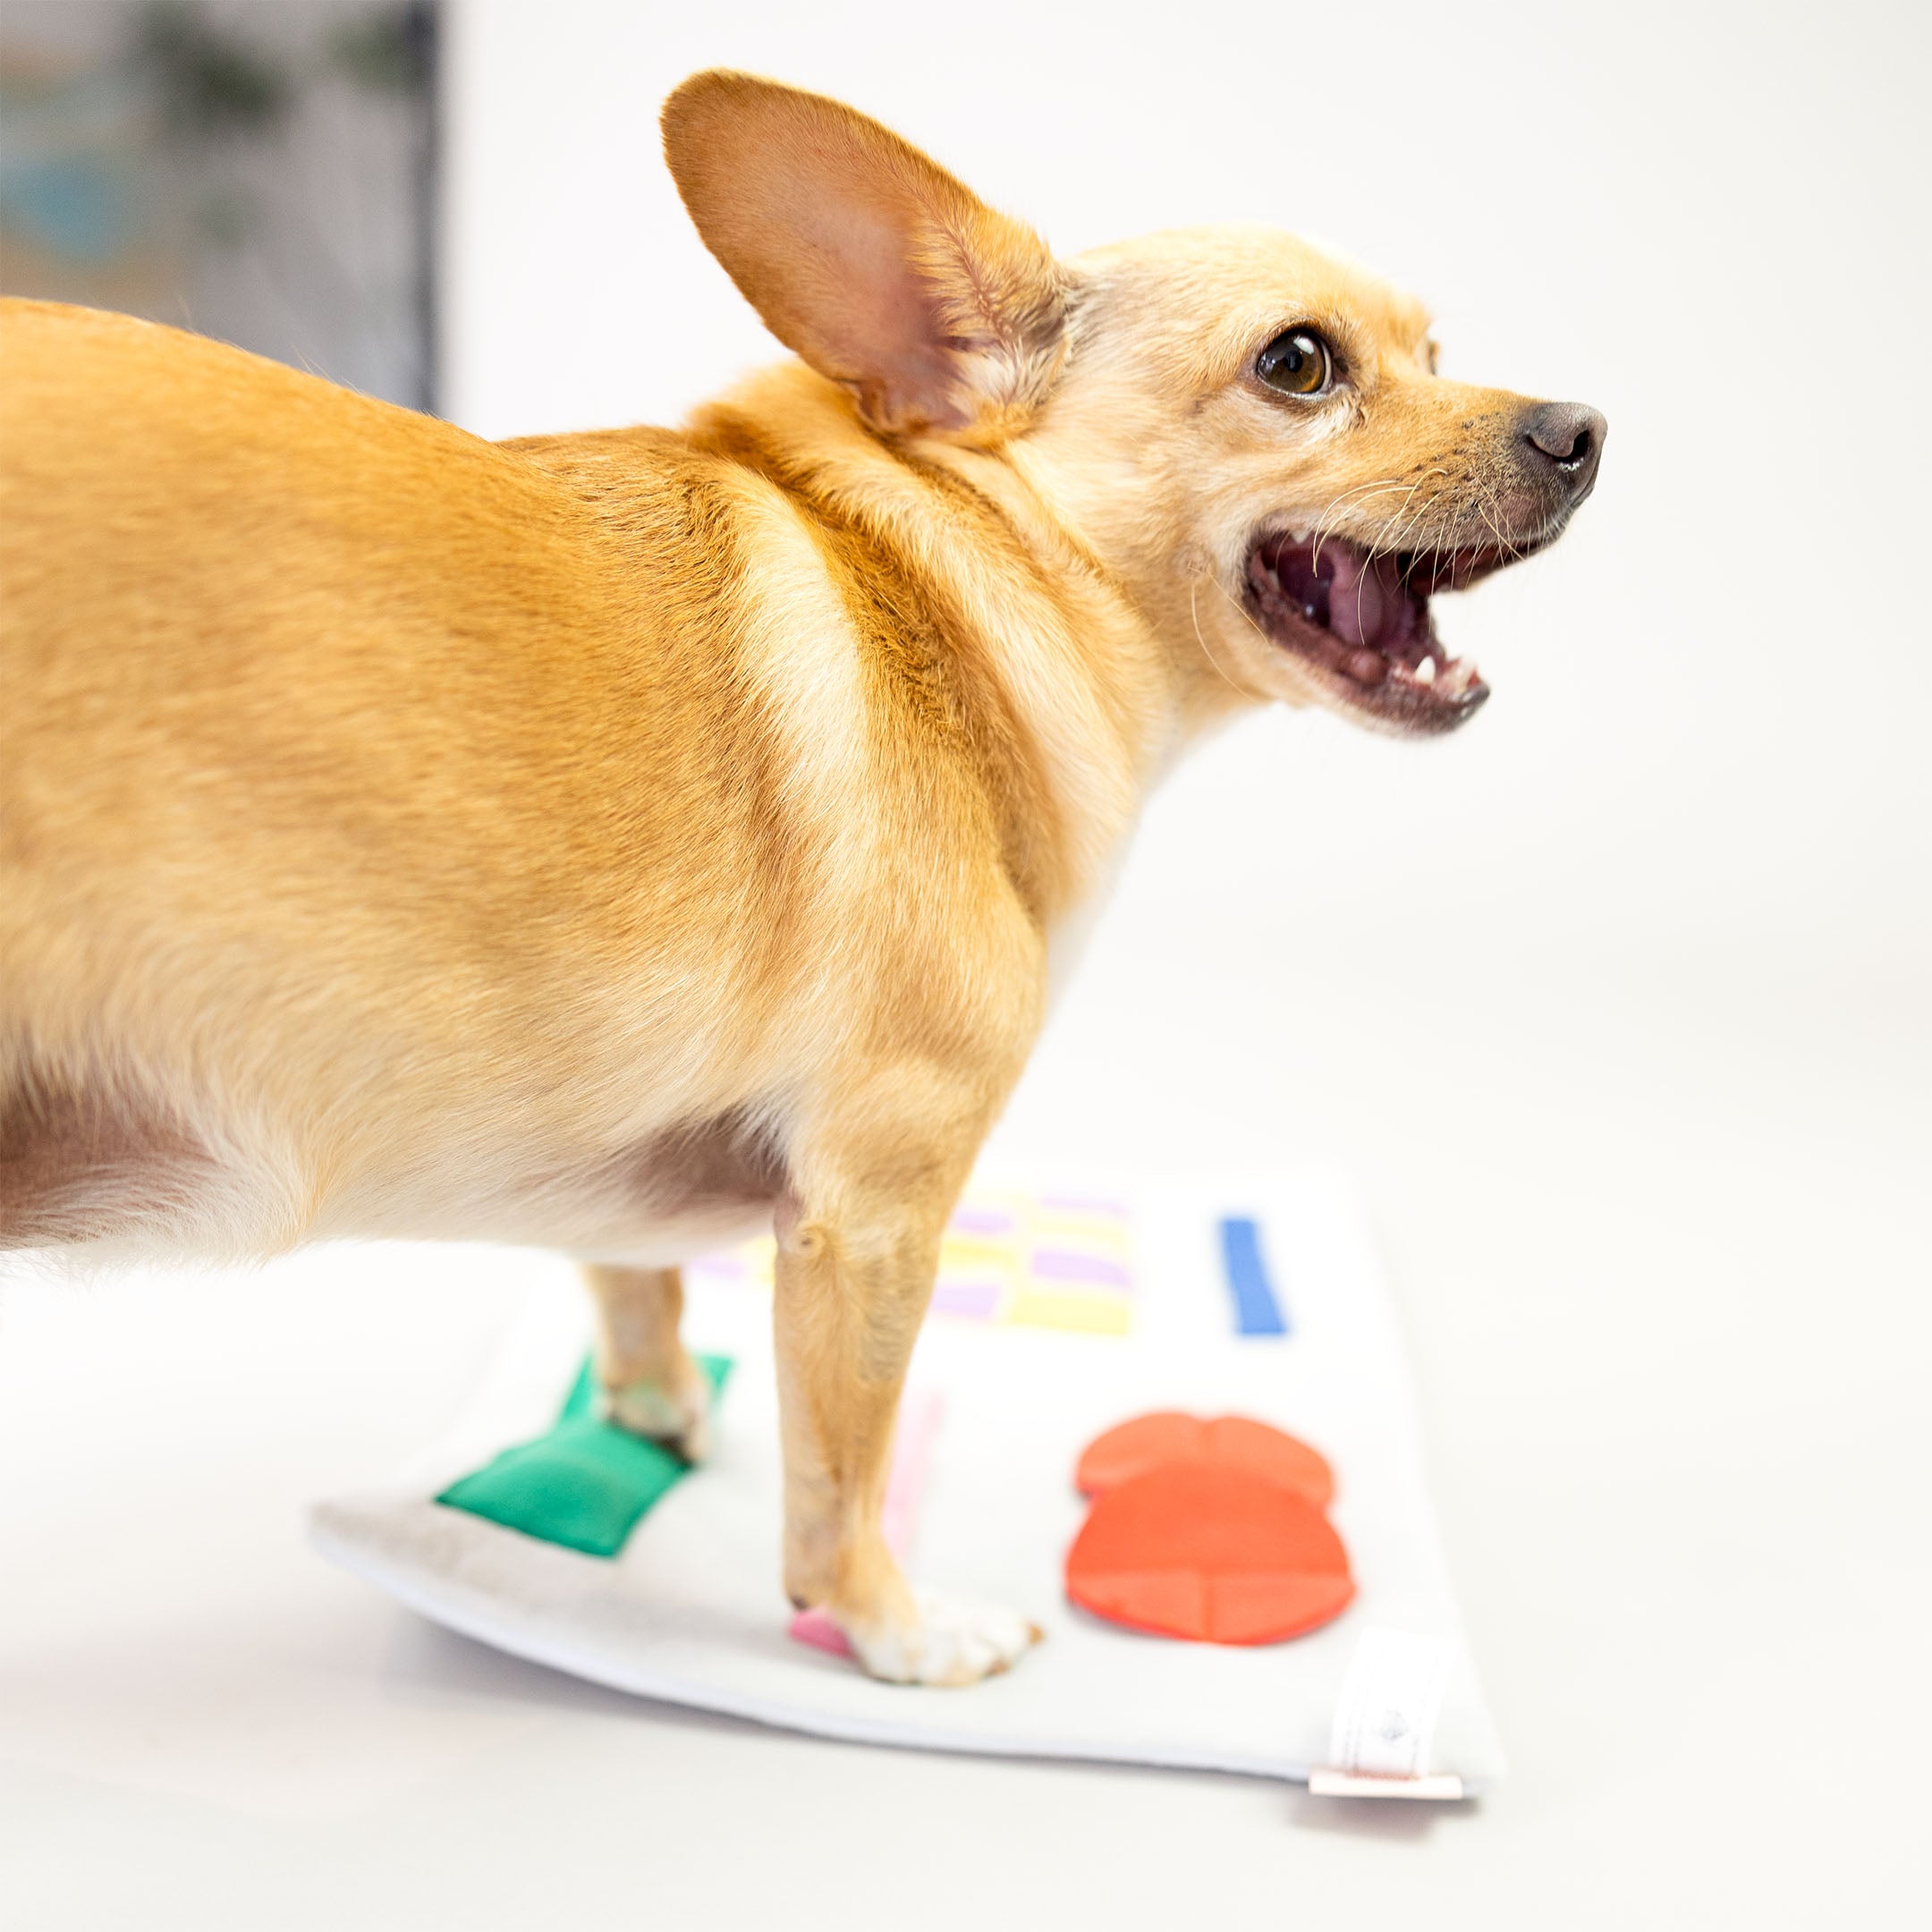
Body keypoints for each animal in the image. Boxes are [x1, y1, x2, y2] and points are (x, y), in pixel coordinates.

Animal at [0, 71, 1599, 1676]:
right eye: (1302, 365)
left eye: (1435, 352)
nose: (1583, 425)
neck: (963, 582)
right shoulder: (871, 1217)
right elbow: (843, 1475)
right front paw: (898, 1633)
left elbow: (628, 1276)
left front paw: (657, 1412)